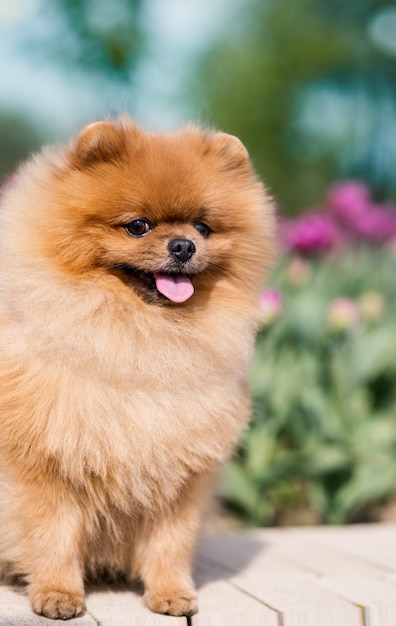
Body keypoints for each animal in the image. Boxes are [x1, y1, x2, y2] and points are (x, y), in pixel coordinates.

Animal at [0, 116, 276, 616]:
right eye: (138, 226)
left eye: (203, 227)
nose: (184, 245)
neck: (143, 341)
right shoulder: (46, 466)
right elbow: (52, 536)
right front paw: (57, 593)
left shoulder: (182, 478)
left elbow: (170, 544)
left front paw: (171, 593)